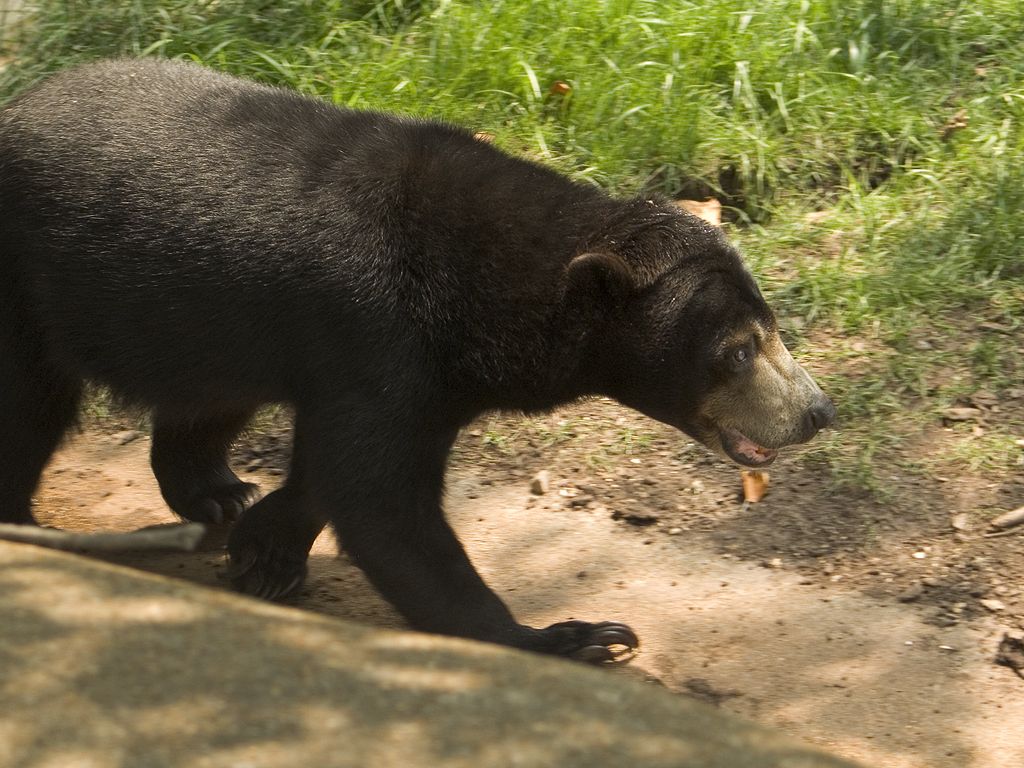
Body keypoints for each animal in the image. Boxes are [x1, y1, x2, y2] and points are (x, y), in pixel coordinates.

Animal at [0, 59, 835, 661]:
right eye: (735, 351)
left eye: (772, 329)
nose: (817, 411)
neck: (481, 296)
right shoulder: (374, 333)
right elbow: (382, 500)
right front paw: (578, 637)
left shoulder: (422, 375)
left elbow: (341, 473)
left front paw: (264, 547)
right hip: (30, 291)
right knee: (27, 408)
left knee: (207, 400)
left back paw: (217, 495)